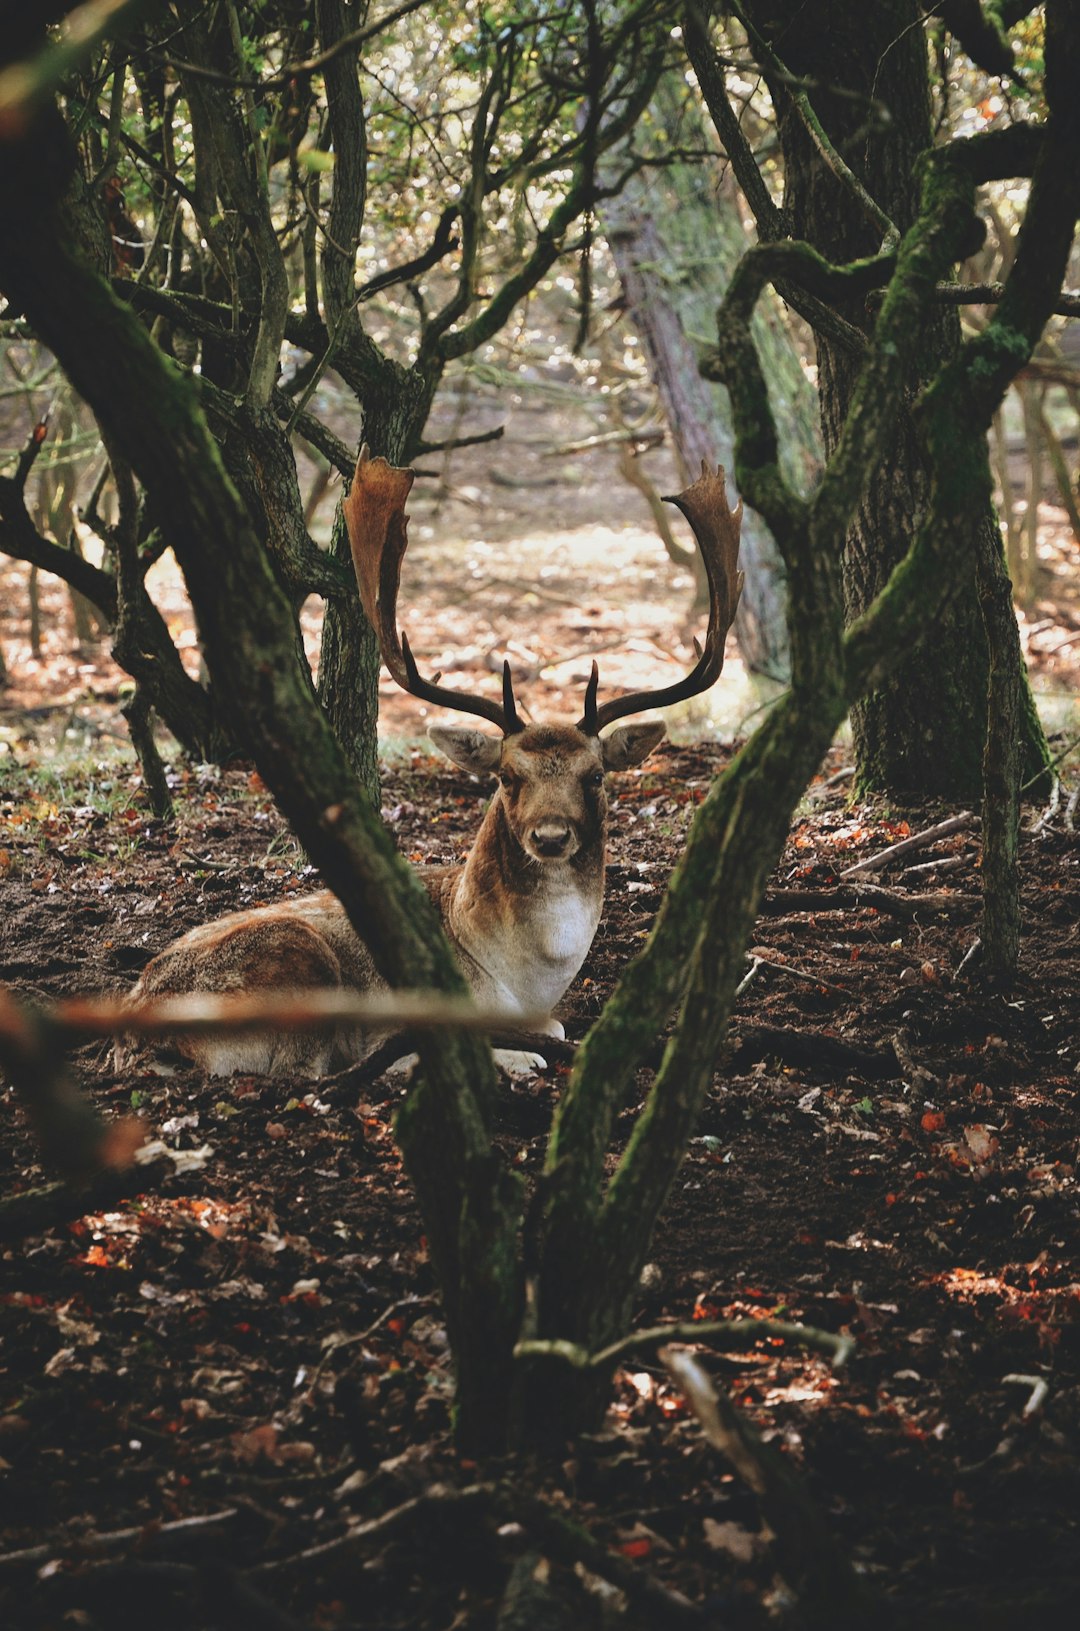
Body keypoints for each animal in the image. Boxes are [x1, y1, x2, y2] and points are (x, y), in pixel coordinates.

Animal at [120, 453, 743, 1076]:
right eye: (507, 777)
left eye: (595, 776)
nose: (549, 836)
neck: (522, 986)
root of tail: (135, 1030)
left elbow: (559, 1027)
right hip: (294, 962)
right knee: (310, 1069)